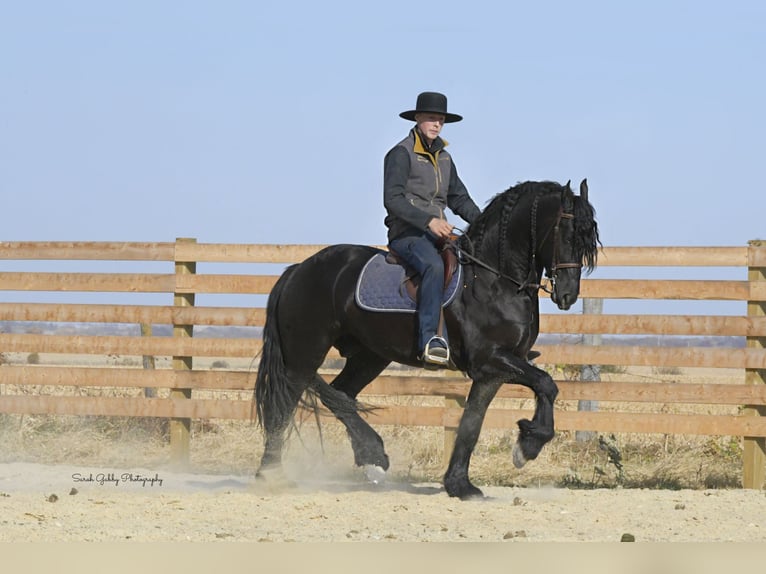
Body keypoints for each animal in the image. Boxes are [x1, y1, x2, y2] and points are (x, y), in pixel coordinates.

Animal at [256, 180, 600, 500]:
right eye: (567, 233)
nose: (567, 295)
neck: (494, 280)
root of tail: (298, 270)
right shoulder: (490, 360)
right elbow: (546, 384)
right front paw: (528, 446)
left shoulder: (493, 373)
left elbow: (471, 424)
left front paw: (460, 485)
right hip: (305, 351)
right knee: (288, 402)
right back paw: (274, 473)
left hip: (370, 356)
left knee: (340, 395)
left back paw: (370, 459)